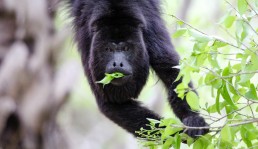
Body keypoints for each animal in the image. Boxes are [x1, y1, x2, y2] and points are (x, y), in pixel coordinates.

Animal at [69, 0, 209, 138]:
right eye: (108, 49)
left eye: (126, 48)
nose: (117, 63)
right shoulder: (87, 41)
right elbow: (110, 102)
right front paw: (173, 133)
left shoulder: (149, 29)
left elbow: (170, 69)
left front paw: (193, 119)